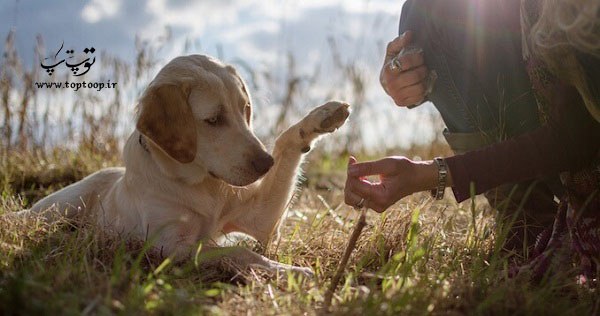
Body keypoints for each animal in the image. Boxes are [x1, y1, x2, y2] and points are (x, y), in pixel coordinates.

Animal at [16, 55, 350, 276]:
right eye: (213, 120)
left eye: (245, 110)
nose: (265, 164)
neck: (200, 185)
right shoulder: (168, 246)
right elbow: (240, 251)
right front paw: (288, 270)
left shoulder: (261, 218)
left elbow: (286, 141)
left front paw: (321, 117)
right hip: (57, 209)